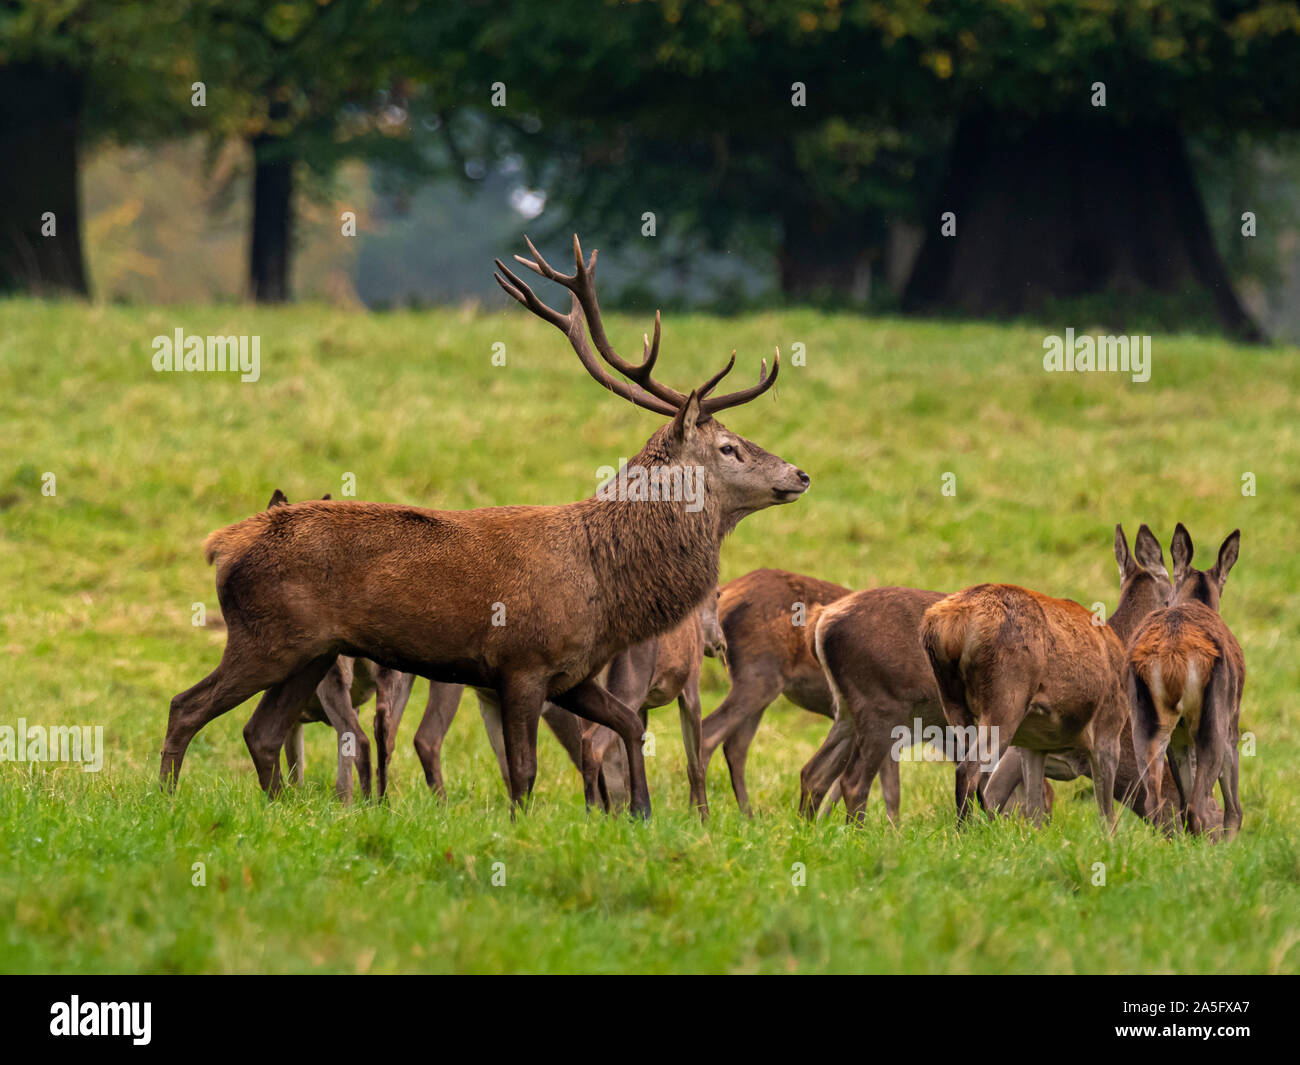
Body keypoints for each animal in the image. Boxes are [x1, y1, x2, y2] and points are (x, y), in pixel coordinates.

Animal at [158, 235, 809, 819]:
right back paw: (163, 801)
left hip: (313, 652)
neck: (604, 583)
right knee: (185, 706)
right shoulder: (521, 663)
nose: (800, 473)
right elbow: (523, 770)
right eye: (729, 448)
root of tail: (223, 546)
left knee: (261, 731)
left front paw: (641, 813)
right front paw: (524, 829)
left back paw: (280, 812)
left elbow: (628, 724)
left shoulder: (571, 673)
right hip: (265, 637)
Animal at [920, 524, 1172, 831]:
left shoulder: (1033, 743)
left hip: (952, 699)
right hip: (1006, 698)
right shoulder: (1108, 725)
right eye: (1172, 594)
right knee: (970, 770)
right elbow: (1106, 814)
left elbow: (1035, 810)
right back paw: (967, 832)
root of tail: (948, 624)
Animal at [1129, 525, 1243, 838]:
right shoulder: (1233, 724)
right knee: (1200, 805)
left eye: (1168, 597)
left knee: (1155, 800)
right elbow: (1233, 806)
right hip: (1214, 722)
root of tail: (1173, 658)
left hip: (1146, 722)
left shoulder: (1179, 739)